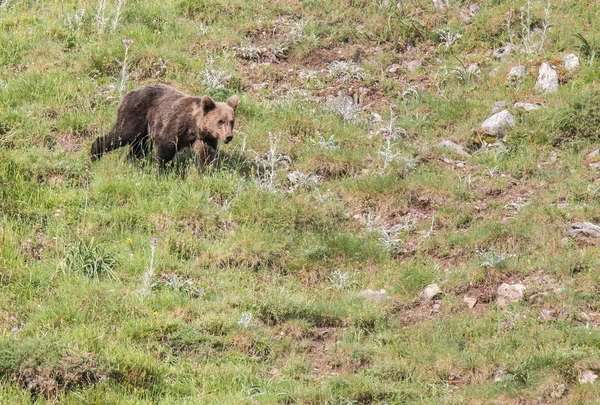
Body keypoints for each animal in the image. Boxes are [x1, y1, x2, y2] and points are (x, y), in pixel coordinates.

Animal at [89, 83, 239, 169]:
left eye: (231, 121)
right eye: (220, 121)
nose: (229, 136)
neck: (194, 126)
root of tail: (127, 94)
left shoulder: (205, 138)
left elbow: (207, 156)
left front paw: (207, 171)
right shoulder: (174, 124)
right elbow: (165, 148)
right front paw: (163, 171)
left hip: (145, 129)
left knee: (140, 146)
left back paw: (135, 161)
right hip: (136, 116)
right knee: (122, 134)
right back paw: (95, 153)